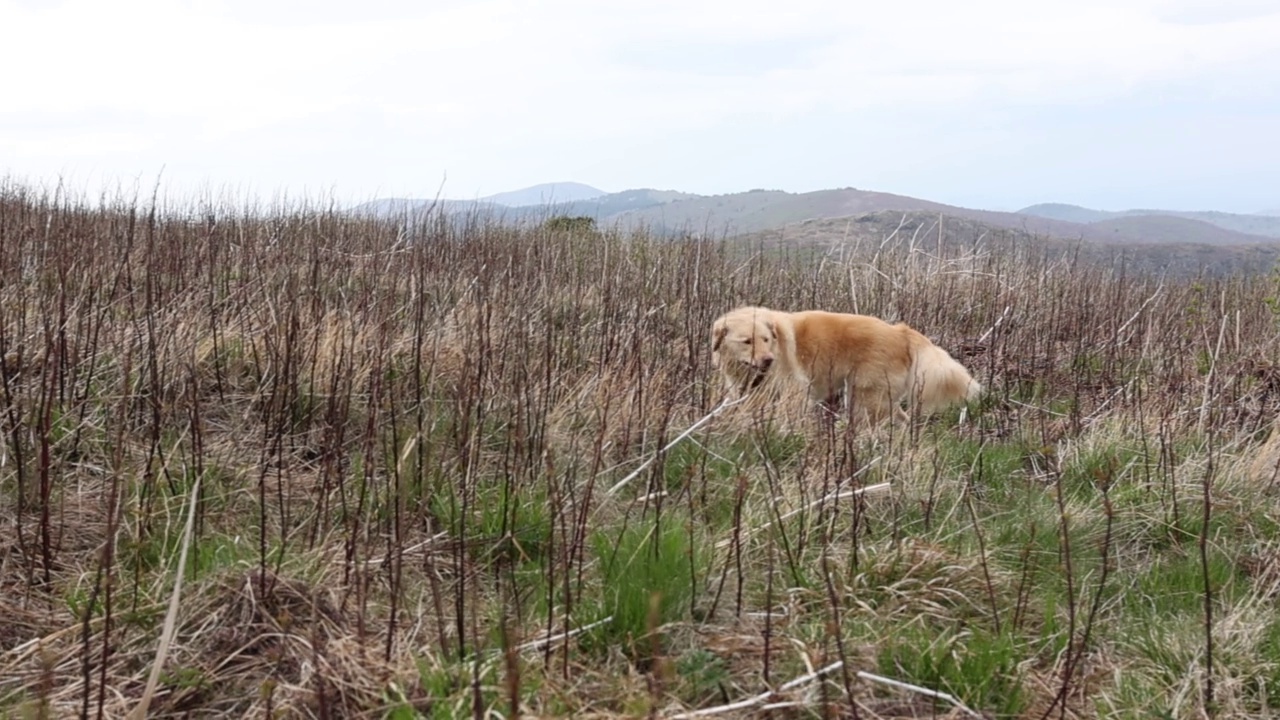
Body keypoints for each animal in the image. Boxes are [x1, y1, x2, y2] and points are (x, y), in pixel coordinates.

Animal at [711, 303, 977, 425]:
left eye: (766, 339)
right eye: (747, 341)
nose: (768, 359)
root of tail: (900, 331)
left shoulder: (794, 392)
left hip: (866, 398)